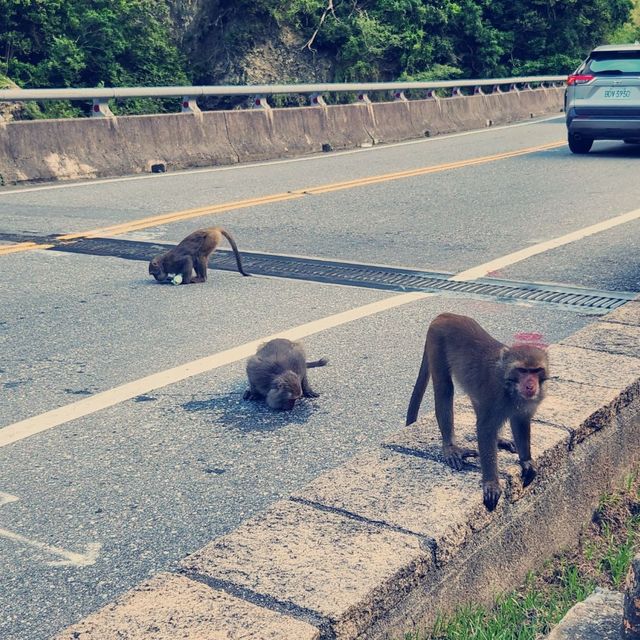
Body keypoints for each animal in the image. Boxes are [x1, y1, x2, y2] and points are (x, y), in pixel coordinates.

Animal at [404, 312, 552, 512]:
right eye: (522, 370)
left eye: (536, 371)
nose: (530, 385)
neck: (510, 386)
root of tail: (446, 315)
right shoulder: (495, 393)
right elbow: (485, 429)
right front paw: (491, 482)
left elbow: (520, 421)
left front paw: (526, 460)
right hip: (436, 341)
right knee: (444, 388)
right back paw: (451, 448)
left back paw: (499, 440)